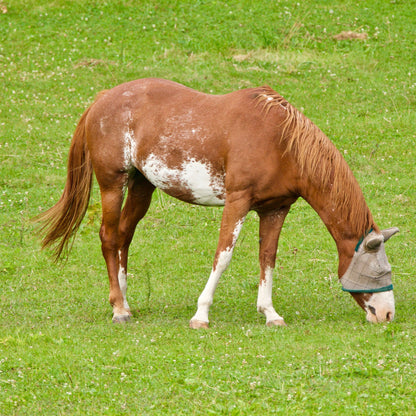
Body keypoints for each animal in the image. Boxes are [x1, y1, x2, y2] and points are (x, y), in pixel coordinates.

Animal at [36, 77, 400, 324]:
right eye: (379, 272)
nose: (387, 315)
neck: (280, 142)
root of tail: (101, 99)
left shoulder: (275, 208)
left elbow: (267, 257)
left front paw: (270, 313)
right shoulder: (237, 203)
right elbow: (223, 256)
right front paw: (201, 314)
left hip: (142, 187)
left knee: (124, 236)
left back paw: (124, 300)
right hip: (114, 184)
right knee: (109, 237)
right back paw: (119, 309)